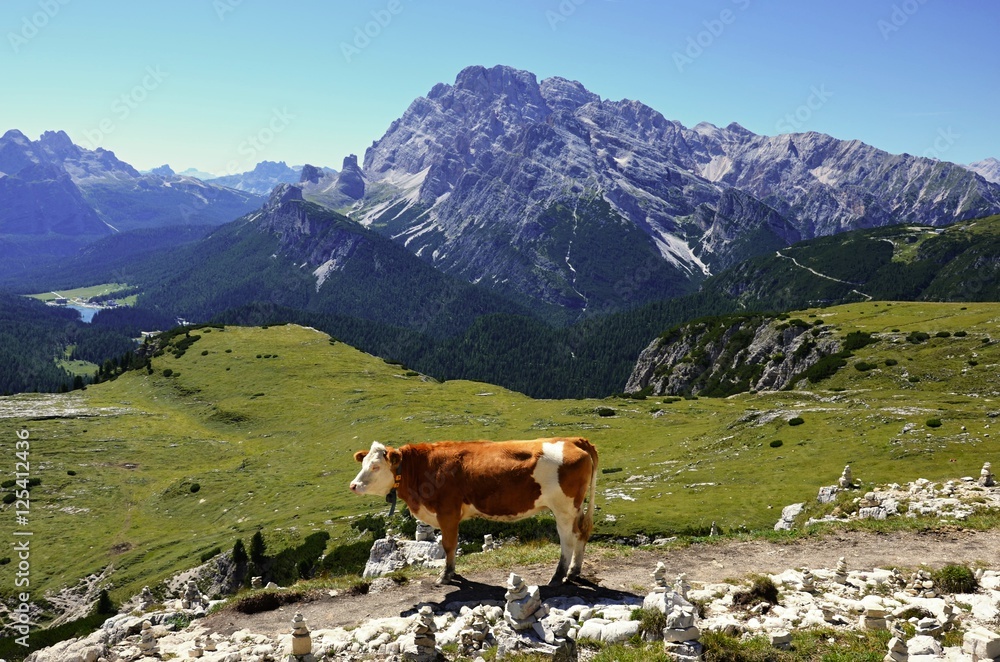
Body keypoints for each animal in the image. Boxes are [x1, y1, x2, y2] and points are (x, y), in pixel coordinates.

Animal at [350, 437, 598, 585]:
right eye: (362, 465)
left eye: (375, 467)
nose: (353, 485)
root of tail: (573, 439)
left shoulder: (447, 512)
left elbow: (448, 545)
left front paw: (446, 575)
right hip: (574, 508)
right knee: (582, 533)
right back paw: (574, 571)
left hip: (563, 507)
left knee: (568, 539)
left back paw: (558, 575)